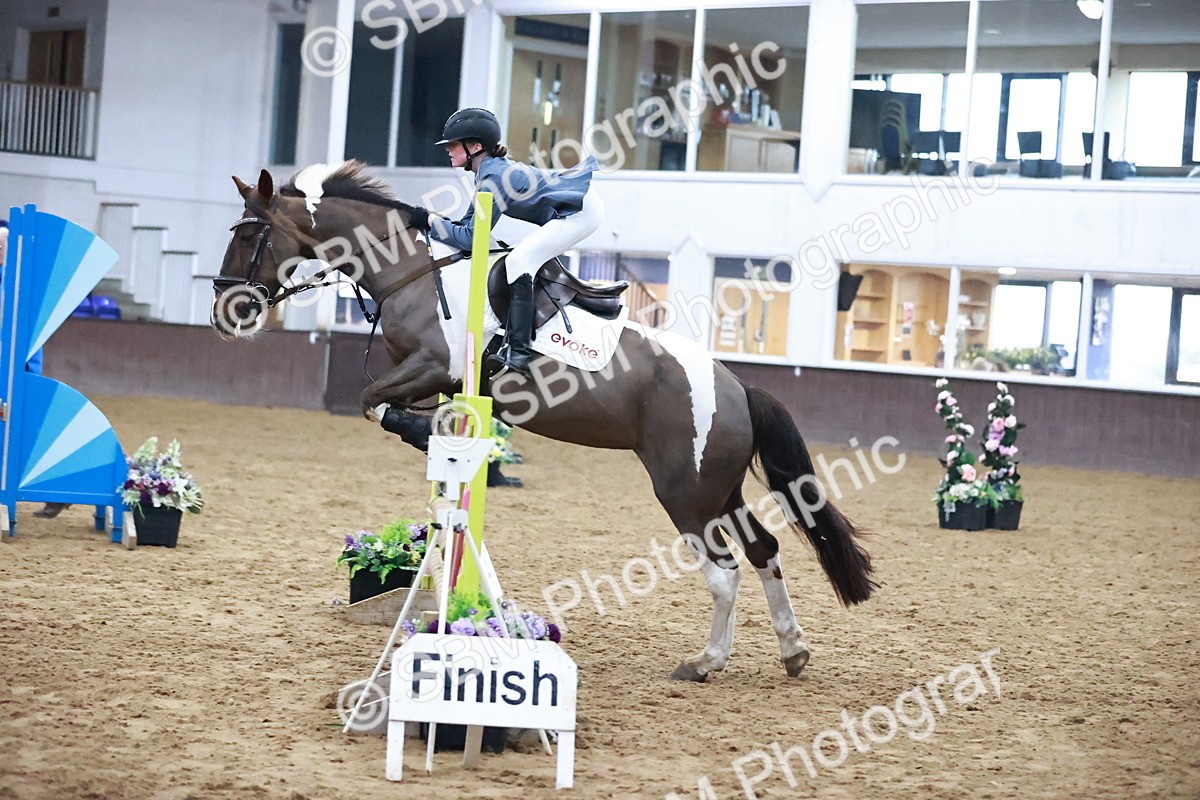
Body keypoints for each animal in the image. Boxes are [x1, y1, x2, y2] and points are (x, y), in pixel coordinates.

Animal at [212, 161, 876, 682]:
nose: (225, 312)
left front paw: (422, 431)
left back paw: (706, 662)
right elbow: (389, 406)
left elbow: (371, 399)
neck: (409, 270)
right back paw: (792, 649)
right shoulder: (434, 376)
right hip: (721, 488)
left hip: (684, 491)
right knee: (764, 550)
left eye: (251, 236)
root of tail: (738, 387)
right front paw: (436, 436)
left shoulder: (430, 365)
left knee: (724, 572)